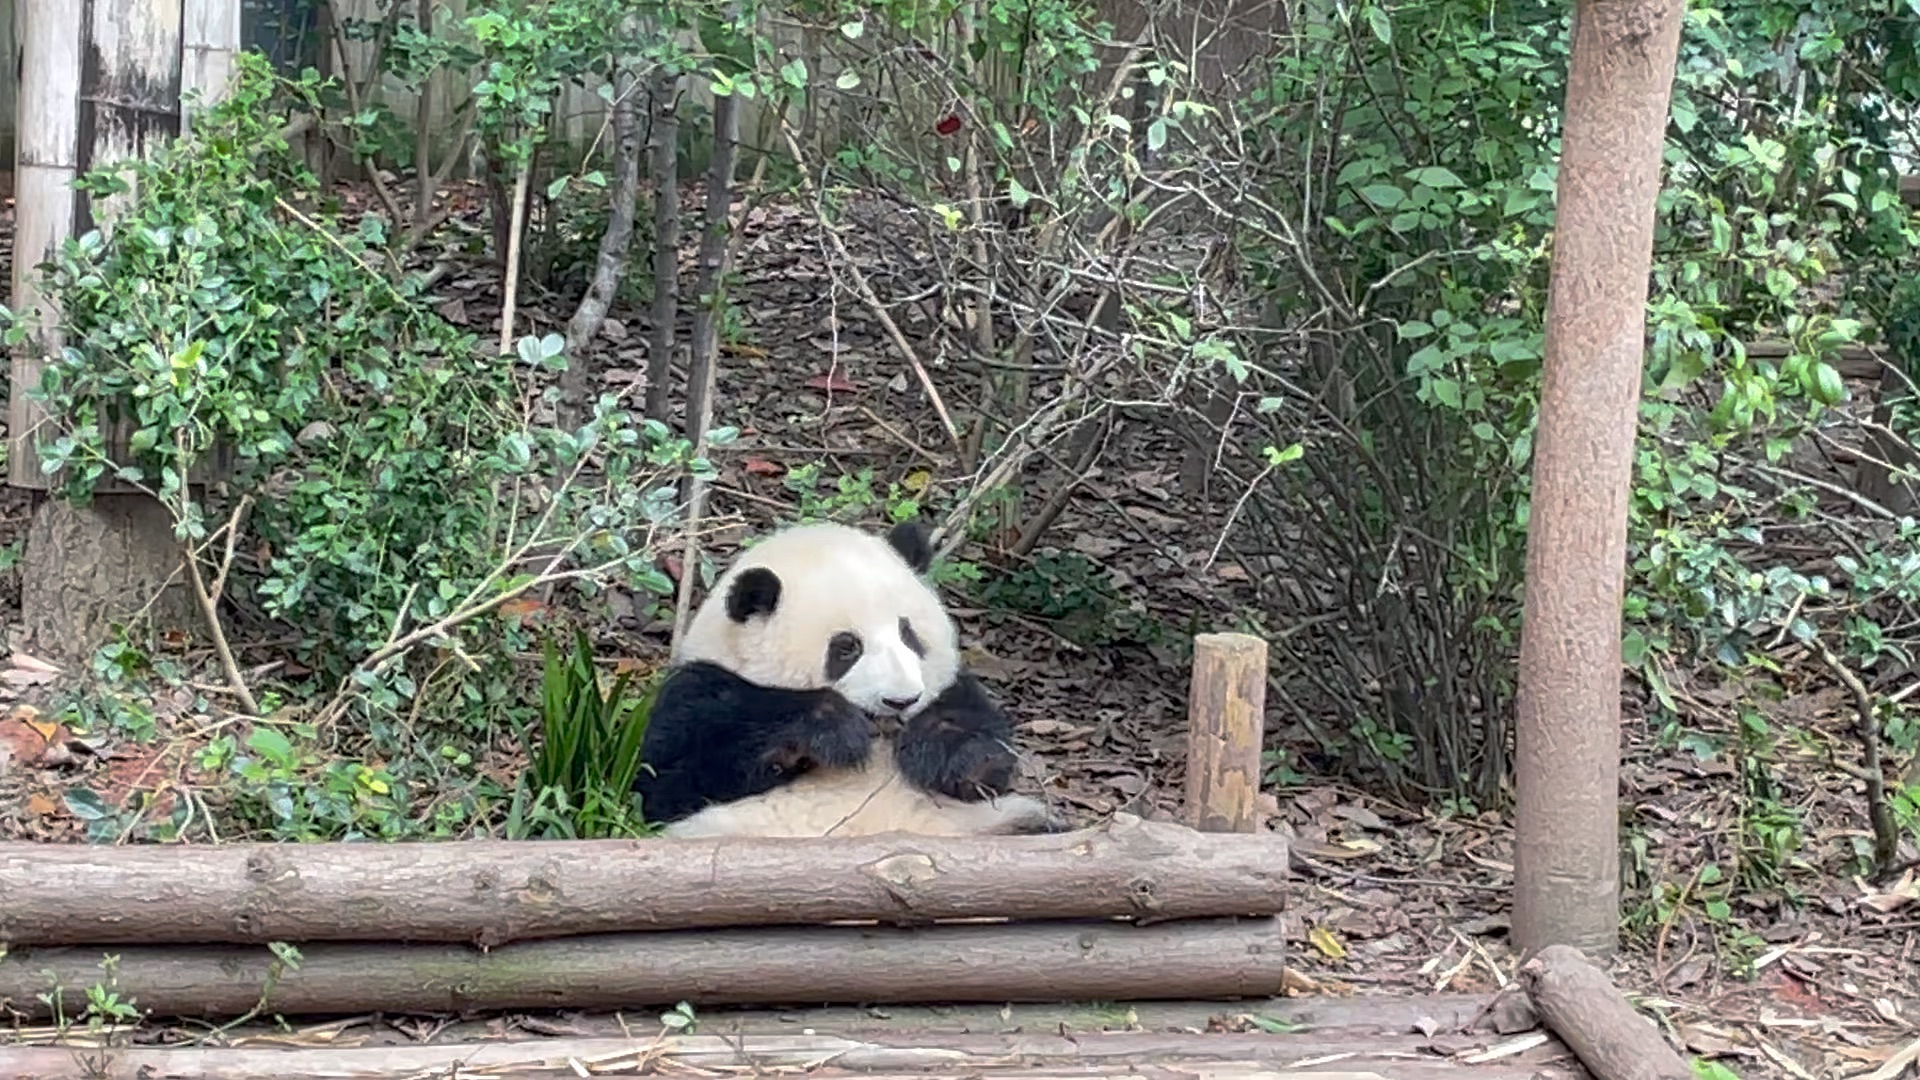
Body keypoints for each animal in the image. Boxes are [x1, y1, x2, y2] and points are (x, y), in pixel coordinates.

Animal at [641, 518, 1067, 837]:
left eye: (908, 634)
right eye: (847, 648)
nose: (902, 700)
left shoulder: (957, 691)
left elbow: (987, 760)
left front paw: (943, 749)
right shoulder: (701, 689)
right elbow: (668, 779)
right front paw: (831, 728)